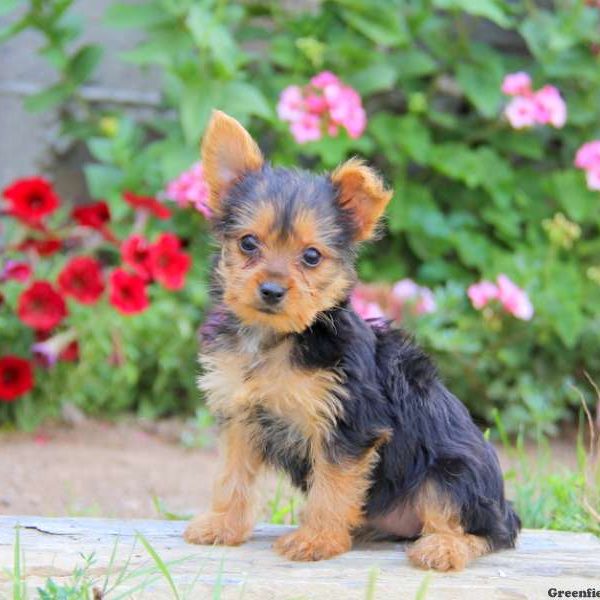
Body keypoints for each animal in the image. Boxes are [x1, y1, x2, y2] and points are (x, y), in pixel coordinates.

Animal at [184, 109, 520, 572]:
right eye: (248, 243)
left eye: (311, 256)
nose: (271, 290)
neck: (279, 338)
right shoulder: (241, 418)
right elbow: (233, 475)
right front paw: (223, 525)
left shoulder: (348, 426)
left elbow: (332, 486)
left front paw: (317, 540)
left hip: (452, 472)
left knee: (482, 530)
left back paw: (443, 547)